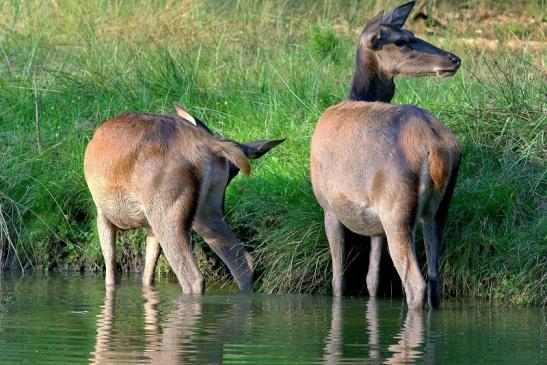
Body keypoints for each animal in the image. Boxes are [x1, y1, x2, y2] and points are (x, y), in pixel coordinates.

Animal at [84, 102, 286, 292]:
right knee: (243, 261)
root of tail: (211, 143)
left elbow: (111, 272)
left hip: (166, 206)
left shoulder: (102, 212)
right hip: (206, 209)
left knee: (193, 276)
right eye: (232, 171)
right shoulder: (150, 226)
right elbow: (147, 276)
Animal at [310, 1, 460, 308]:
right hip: (439, 208)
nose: (454, 59)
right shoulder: (374, 224)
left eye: (411, 34)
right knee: (435, 280)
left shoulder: (328, 205)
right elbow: (372, 280)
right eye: (402, 40)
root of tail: (437, 150)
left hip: (396, 207)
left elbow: (339, 279)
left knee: (416, 283)